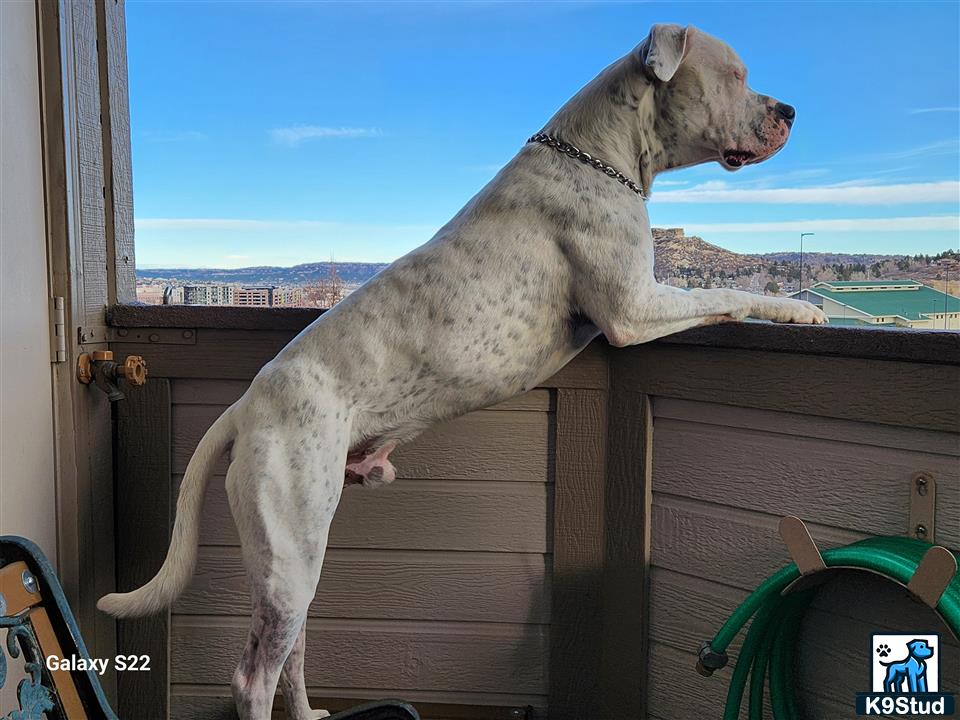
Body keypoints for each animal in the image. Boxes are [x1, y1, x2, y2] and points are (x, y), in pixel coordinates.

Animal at [101, 23, 828, 720]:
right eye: (735, 74)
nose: (791, 109)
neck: (602, 155)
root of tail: (247, 405)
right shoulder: (633, 307)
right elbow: (722, 295)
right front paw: (798, 310)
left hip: (297, 556)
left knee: (291, 654)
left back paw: (310, 714)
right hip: (290, 544)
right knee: (252, 676)